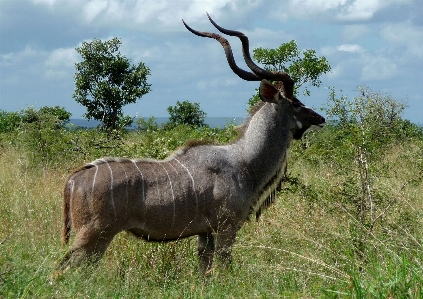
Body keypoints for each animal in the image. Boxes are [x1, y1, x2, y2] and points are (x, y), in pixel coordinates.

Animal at [56, 14, 326, 276]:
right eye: (296, 103)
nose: (321, 118)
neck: (243, 160)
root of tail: (73, 180)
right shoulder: (226, 227)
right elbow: (224, 269)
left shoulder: (205, 234)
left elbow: (204, 272)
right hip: (93, 237)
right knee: (62, 273)